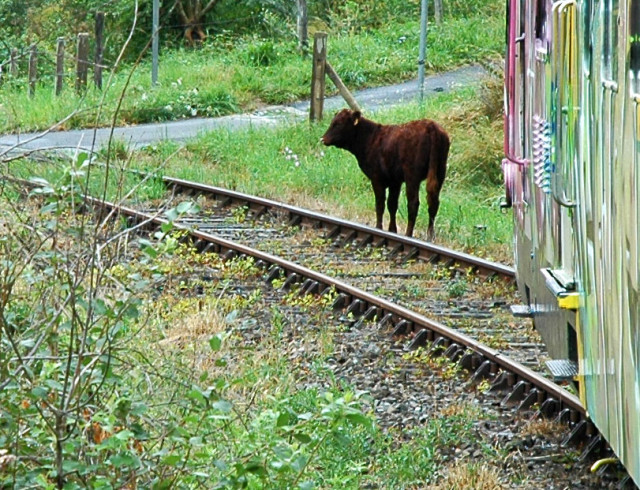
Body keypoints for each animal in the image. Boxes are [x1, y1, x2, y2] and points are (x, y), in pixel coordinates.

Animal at [320, 110, 450, 241]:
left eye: (339, 124)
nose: (323, 139)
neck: (369, 139)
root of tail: (431, 126)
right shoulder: (395, 181)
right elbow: (392, 204)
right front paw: (392, 230)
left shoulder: (376, 178)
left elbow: (380, 204)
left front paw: (379, 228)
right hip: (440, 171)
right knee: (433, 202)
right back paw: (430, 236)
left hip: (412, 176)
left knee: (413, 203)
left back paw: (408, 234)